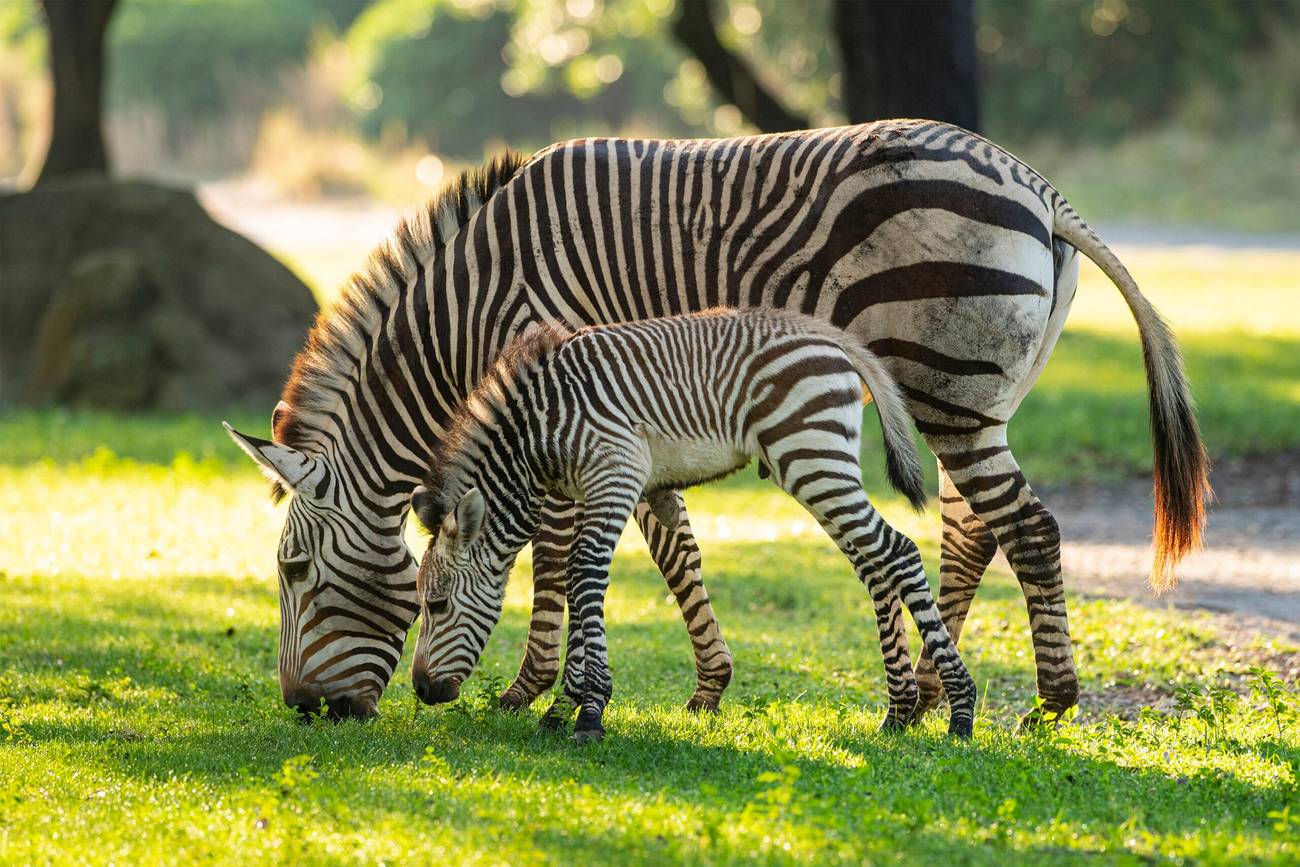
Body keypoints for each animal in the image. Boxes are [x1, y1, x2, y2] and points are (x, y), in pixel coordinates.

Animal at [405, 308, 977, 743]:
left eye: (437, 606)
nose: (421, 691)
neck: (531, 439)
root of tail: (830, 336)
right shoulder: (591, 490)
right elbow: (573, 580)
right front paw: (565, 706)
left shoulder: (615, 473)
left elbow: (584, 577)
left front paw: (589, 711)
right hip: (817, 466)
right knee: (879, 559)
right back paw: (898, 715)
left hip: (811, 459)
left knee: (899, 552)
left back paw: (961, 712)